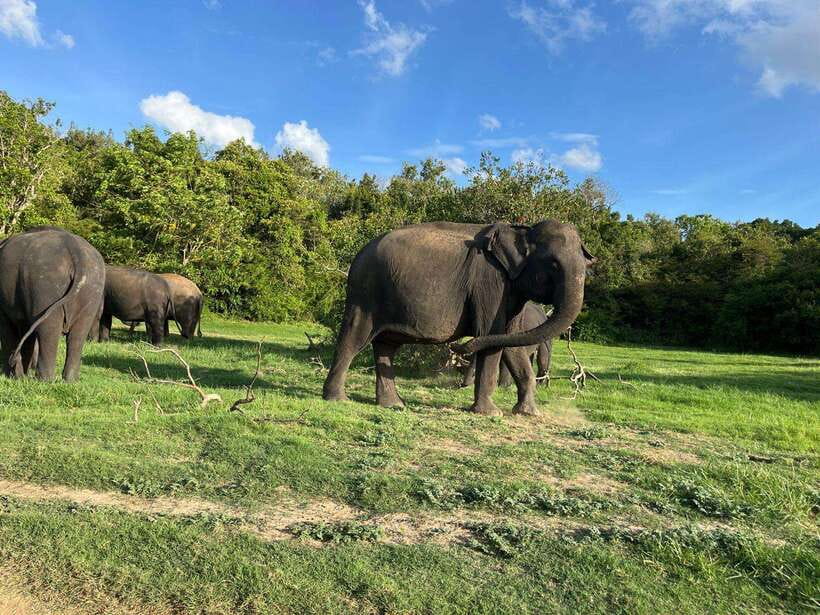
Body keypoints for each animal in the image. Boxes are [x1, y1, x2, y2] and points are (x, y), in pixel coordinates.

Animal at [0, 226, 105, 381]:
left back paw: (43, 379)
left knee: (48, 329)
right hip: (92, 288)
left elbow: (8, 329)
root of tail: (76, 252)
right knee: (79, 334)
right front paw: (21, 375)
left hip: (45, 285)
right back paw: (70, 380)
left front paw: (12, 376)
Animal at [323, 220, 594, 416]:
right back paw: (337, 399)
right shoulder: (490, 283)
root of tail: (359, 254)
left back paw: (393, 405)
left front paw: (528, 413)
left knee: (386, 345)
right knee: (354, 338)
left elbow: (508, 340)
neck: (521, 230)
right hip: (365, 293)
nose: (458, 346)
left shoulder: (511, 291)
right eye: (554, 265)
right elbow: (490, 336)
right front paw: (490, 413)